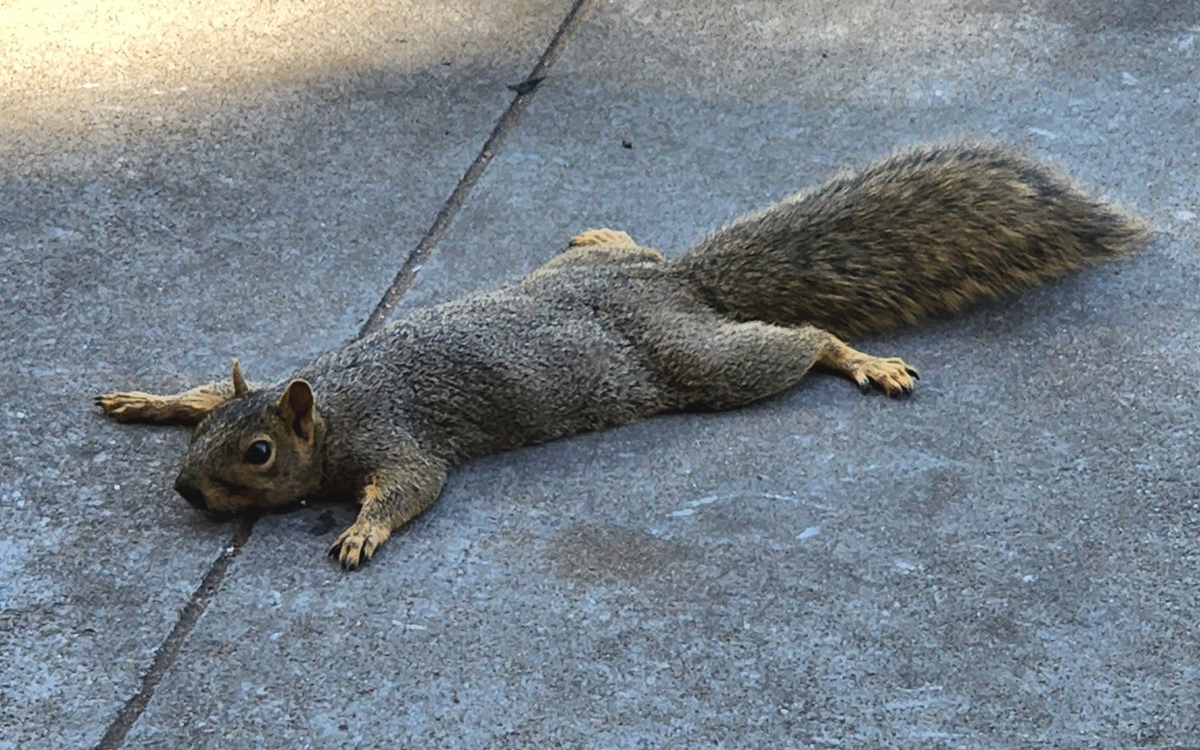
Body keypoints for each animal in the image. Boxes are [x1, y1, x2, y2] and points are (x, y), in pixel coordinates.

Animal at [93, 141, 1142, 566]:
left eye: (258, 453)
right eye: (212, 444)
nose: (185, 492)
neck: (337, 401)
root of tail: (679, 282)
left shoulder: (401, 436)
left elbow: (414, 488)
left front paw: (362, 532)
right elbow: (198, 389)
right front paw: (151, 400)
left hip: (704, 363)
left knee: (798, 342)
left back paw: (859, 359)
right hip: (609, 274)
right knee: (621, 246)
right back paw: (599, 229)